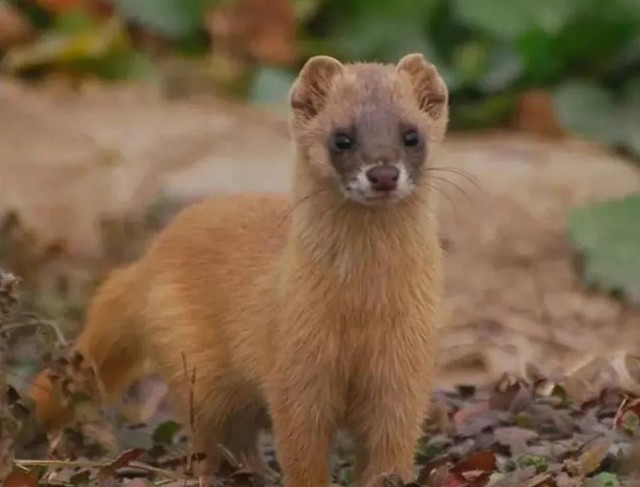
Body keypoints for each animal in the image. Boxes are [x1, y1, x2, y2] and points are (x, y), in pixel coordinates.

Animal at [30, 53, 450, 487]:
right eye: (342, 138)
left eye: (412, 135)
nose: (383, 174)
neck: (362, 314)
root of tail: (148, 258)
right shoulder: (294, 363)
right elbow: (301, 449)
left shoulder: (404, 368)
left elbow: (391, 447)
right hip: (195, 367)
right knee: (210, 435)